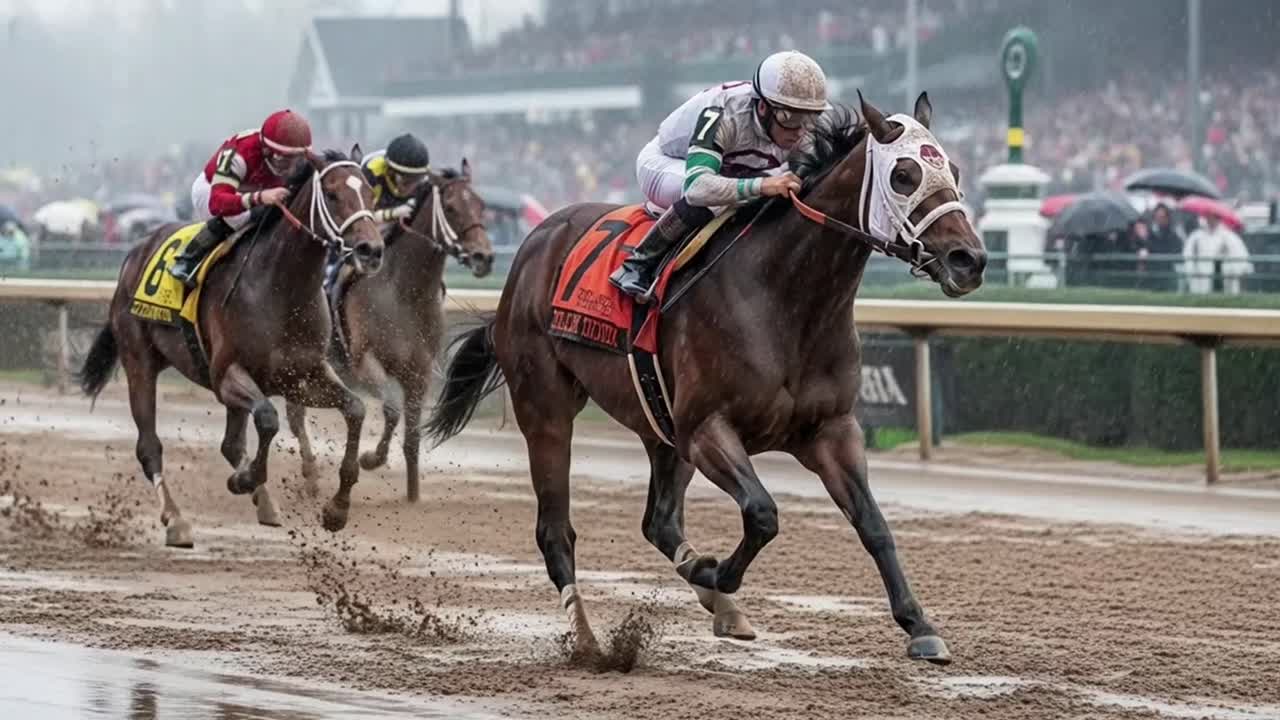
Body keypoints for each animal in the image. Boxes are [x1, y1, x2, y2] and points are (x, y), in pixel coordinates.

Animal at [78, 148, 385, 548]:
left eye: (370, 193)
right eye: (332, 194)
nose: (371, 250)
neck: (282, 287)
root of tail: (134, 254)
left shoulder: (301, 375)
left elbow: (356, 409)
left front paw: (337, 508)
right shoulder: (226, 375)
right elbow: (268, 418)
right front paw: (245, 478)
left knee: (230, 443)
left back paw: (265, 504)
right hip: (139, 362)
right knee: (149, 447)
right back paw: (176, 520)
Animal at [284, 158, 495, 505]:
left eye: (480, 205)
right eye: (451, 208)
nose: (484, 257)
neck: (403, 293)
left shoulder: (420, 374)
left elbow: (412, 438)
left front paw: (413, 495)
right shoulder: (364, 365)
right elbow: (392, 411)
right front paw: (371, 459)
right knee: (296, 415)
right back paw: (311, 477)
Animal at [424, 93, 985, 664]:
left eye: (955, 171)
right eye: (904, 174)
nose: (970, 259)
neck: (786, 298)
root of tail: (531, 249)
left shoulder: (831, 430)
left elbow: (873, 524)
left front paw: (920, 626)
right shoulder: (707, 429)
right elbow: (762, 512)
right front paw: (717, 571)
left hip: (660, 425)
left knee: (659, 520)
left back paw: (715, 602)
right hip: (547, 408)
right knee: (555, 531)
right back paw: (588, 638)